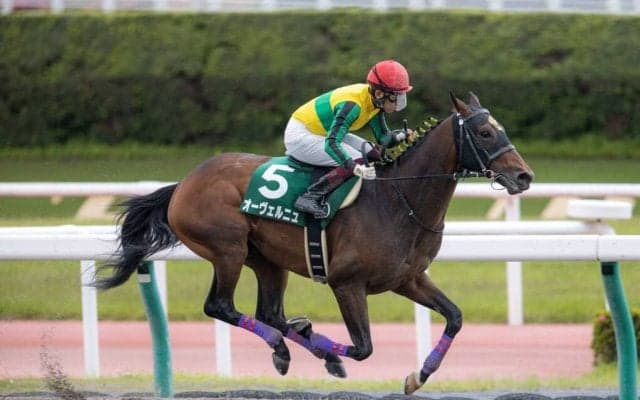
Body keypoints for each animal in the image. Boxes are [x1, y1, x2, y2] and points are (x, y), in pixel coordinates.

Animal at [94, 92, 533, 394]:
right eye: (485, 132)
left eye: (501, 129)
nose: (524, 176)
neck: (398, 199)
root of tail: (183, 184)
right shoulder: (346, 283)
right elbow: (362, 348)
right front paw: (332, 355)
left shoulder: (407, 279)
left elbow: (455, 316)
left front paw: (418, 375)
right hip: (228, 249)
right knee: (220, 306)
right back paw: (289, 347)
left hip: (267, 260)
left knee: (269, 312)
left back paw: (292, 338)